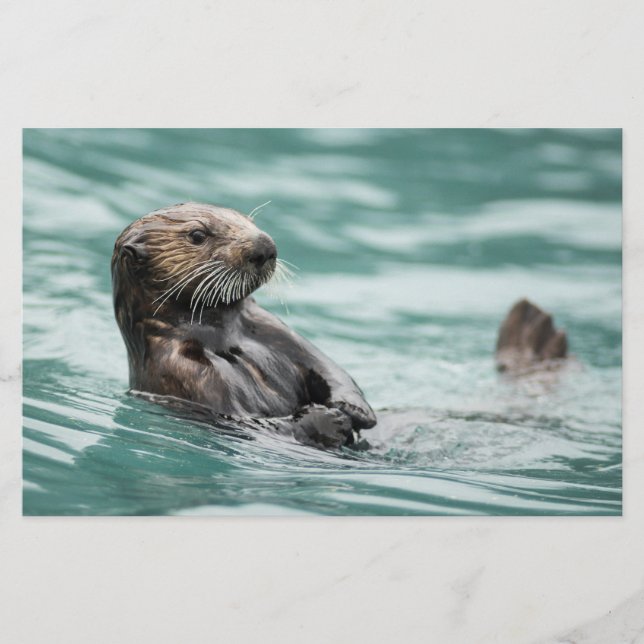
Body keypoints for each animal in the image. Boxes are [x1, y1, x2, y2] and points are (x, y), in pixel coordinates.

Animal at [112, 202, 567, 449]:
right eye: (197, 235)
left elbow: (328, 367)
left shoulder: (270, 328)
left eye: (245, 218)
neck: (224, 337)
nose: (265, 245)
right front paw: (328, 421)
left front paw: (353, 409)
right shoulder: (184, 372)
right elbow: (252, 422)